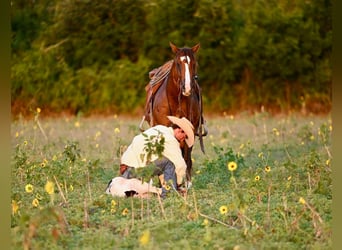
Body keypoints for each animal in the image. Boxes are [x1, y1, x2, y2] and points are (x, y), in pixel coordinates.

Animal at [139, 42, 208, 184]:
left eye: (195, 63)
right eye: (177, 63)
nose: (187, 88)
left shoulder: (189, 130)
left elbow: (186, 158)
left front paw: (186, 184)